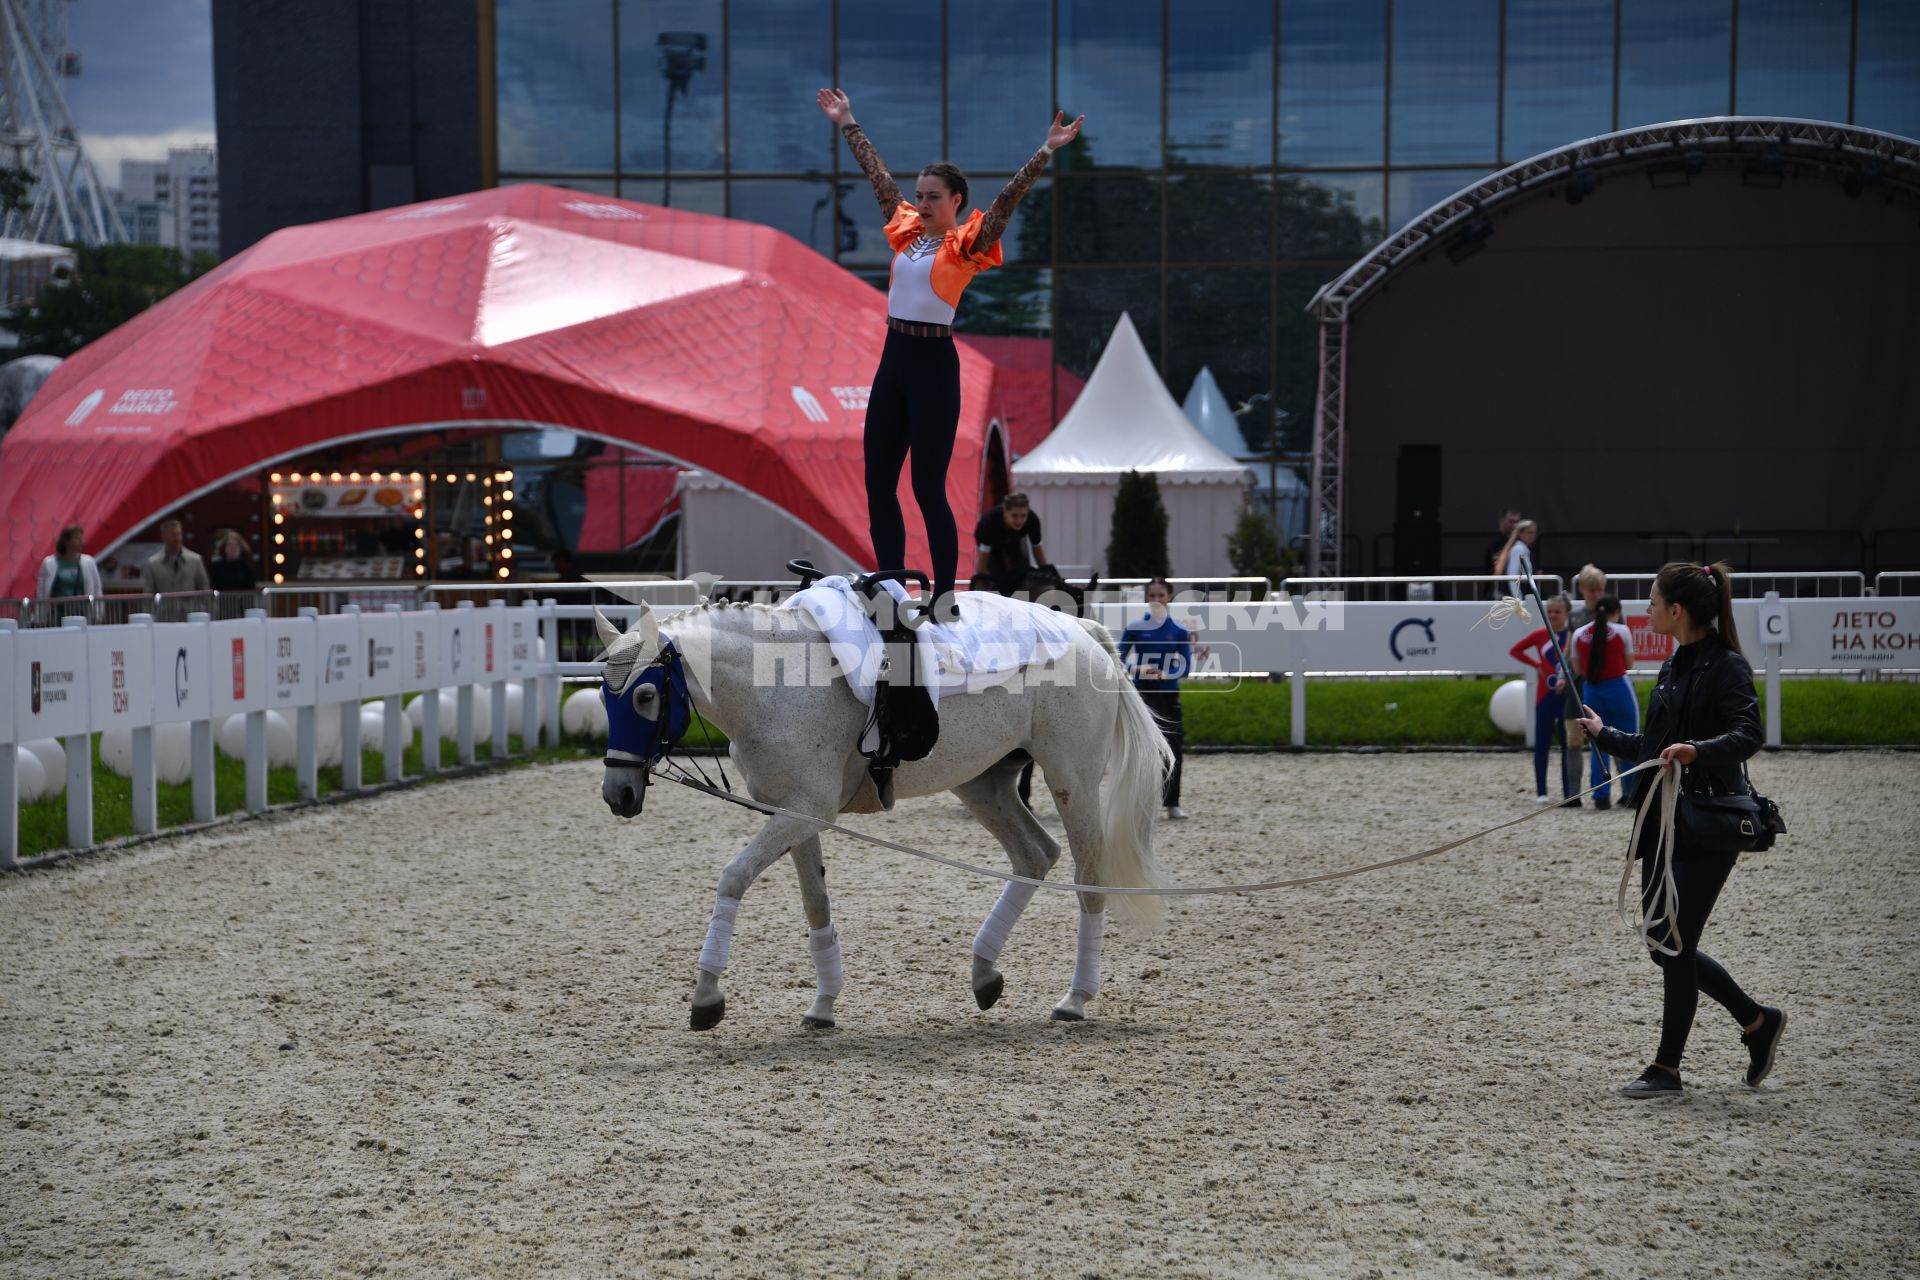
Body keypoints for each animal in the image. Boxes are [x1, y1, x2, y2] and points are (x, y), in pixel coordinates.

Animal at [591, 598, 1175, 1028]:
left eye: (645, 695)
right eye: (604, 696)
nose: (618, 793)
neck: (774, 684)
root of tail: (1081, 630)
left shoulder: (802, 813)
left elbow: (733, 877)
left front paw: (707, 997)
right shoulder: (795, 813)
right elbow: (816, 904)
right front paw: (823, 1005)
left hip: (1070, 783)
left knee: (1089, 880)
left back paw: (1074, 999)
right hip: (982, 784)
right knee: (1035, 855)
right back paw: (984, 973)